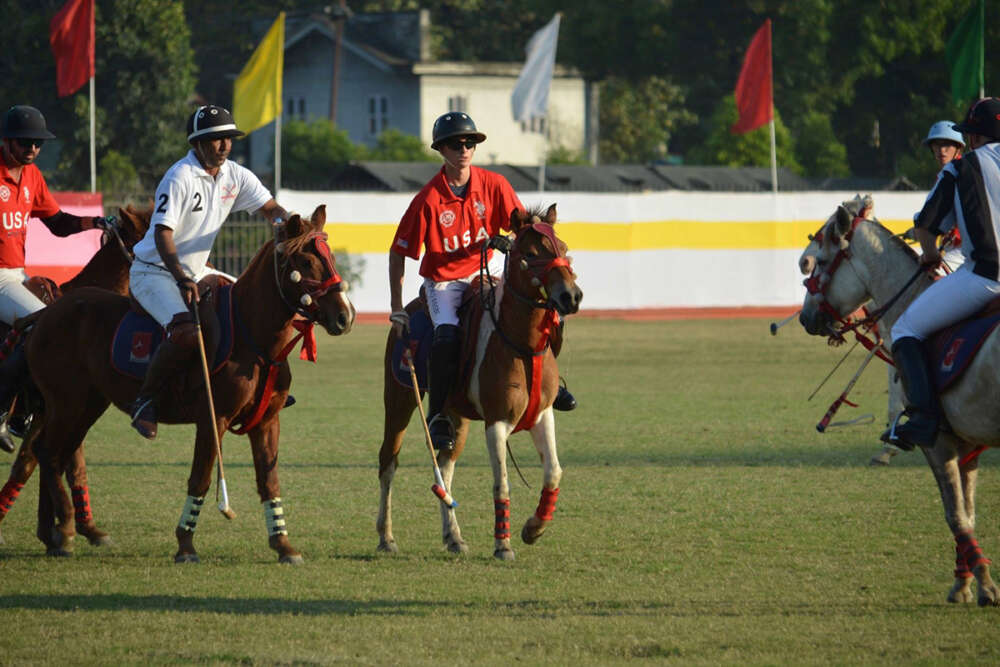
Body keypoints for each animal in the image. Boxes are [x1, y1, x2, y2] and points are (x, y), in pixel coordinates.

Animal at [0, 206, 150, 544]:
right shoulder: (61, 405)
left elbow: (39, 462)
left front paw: (65, 530)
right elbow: (56, 458)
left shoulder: (51, 410)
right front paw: (65, 527)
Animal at [23, 205, 356, 564]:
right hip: (66, 402)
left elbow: (269, 481)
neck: (255, 340)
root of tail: (44, 313)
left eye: (330, 256)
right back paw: (67, 529)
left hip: (89, 403)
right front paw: (185, 544)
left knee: (52, 453)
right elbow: (201, 479)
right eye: (306, 262)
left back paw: (53, 535)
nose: (345, 316)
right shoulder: (214, 418)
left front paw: (283, 545)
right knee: (50, 454)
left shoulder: (267, 421)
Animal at [376, 206, 584, 560]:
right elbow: (502, 483)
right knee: (388, 461)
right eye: (531, 254)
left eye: (564, 247)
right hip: (400, 398)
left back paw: (454, 537)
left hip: (455, 416)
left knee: (444, 467)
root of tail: (410, 308)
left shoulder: (542, 415)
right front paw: (503, 544)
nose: (571, 296)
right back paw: (386, 537)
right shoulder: (497, 421)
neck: (521, 342)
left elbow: (553, 473)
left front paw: (534, 528)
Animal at [796, 198, 1000, 604]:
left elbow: (956, 514)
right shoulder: (968, 442)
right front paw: (965, 582)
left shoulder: (938, 440)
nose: (806, 318)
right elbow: (967, 512)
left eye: (820, 259)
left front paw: (982, 585)